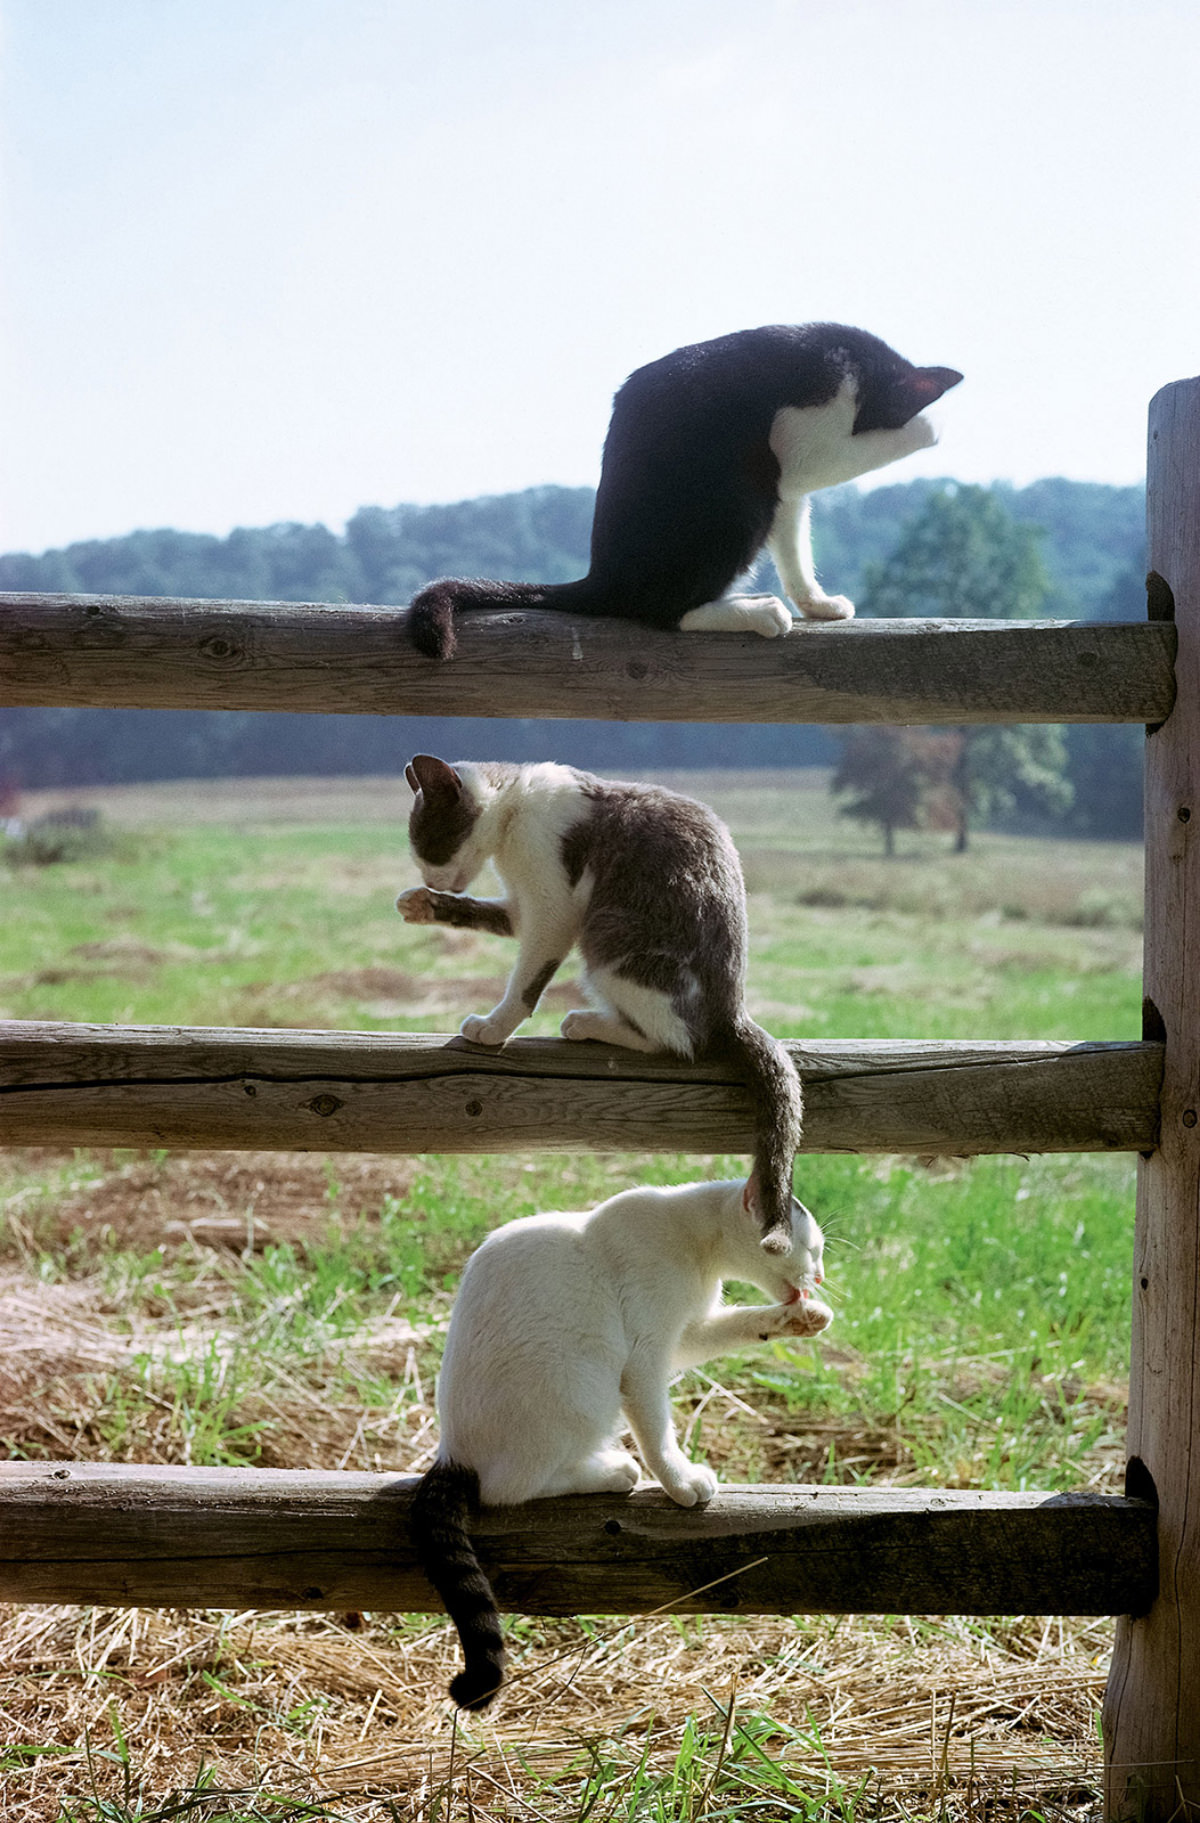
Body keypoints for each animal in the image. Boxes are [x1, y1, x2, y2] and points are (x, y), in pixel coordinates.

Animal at [397, 758, 798, 1254]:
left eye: (430, 844)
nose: (431, 881)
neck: (515, 809)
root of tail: (733, 1011)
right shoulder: (523, 905)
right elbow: (501, 916)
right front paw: (424, 905)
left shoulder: (554, 904)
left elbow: (529, 978)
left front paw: (495, 1027)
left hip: (609, 935)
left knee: (679, 1041)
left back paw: (587, 1022)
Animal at [406, 324, 955, 659]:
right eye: (901, 407)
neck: (859, 367)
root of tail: (603, 577)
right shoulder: (796, 440)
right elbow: (843, 452)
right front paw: (932, 426)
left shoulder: (791, 484)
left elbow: (795, 541)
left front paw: (816, 602)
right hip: (741, 493)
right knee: (664, 610)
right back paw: (756, 610)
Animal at [406, 1181, 827, 1706]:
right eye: (812, 1249)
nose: (820, 1275)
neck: (695, 1245)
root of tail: (451, 1455)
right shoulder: (643, 1358)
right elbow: (657, 1432)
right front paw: (679, 1482)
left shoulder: (682, 1337)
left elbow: (736, 1323)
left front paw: (800, 1318)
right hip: (585, 1380)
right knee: (509, 1489)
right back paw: (611, 1471)